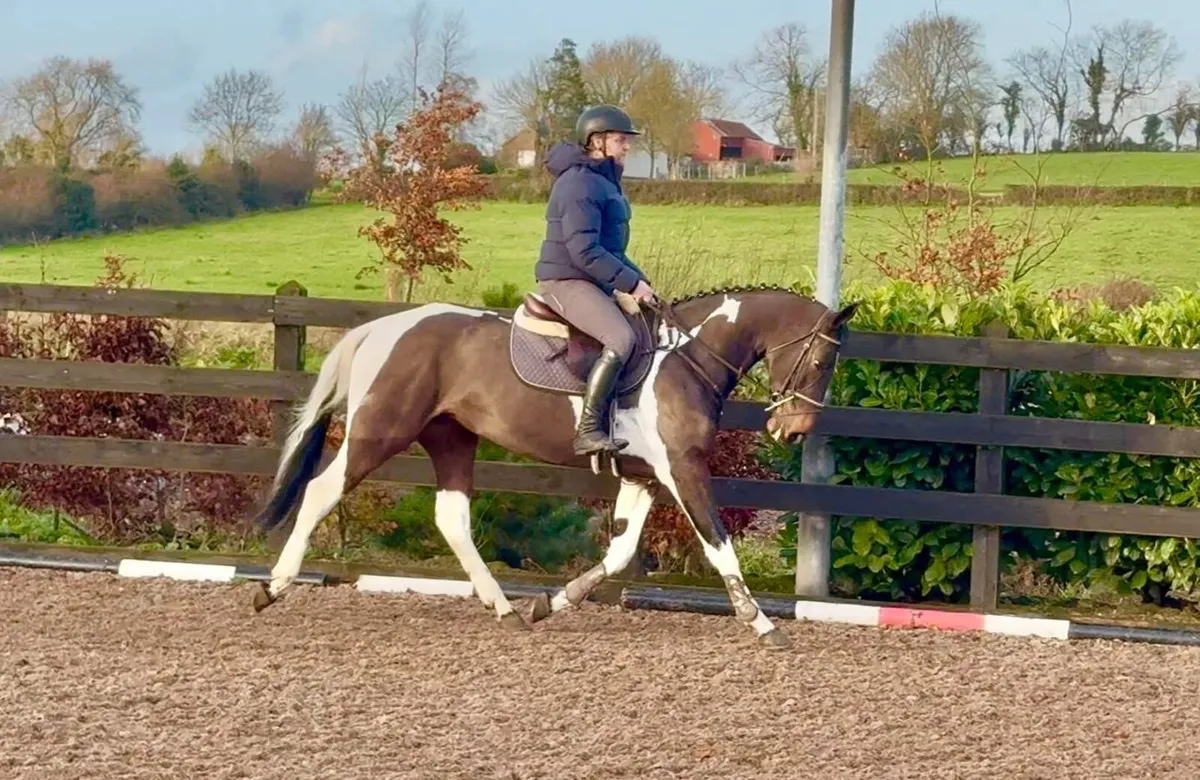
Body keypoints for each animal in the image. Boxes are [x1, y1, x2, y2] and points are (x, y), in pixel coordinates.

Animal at [249, 283, 857, 651]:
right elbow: (717, 542)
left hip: (452, 439)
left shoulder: (642, 476)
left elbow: (619, 555)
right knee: (321, 490)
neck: (685, 356)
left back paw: (505, 608)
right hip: (381, 431)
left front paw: (550, 603)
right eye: (821, 360)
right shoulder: (681, 469)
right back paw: (273, 587)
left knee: (452, 519)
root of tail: (384, 328)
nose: (793, 430)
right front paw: (763, 623)